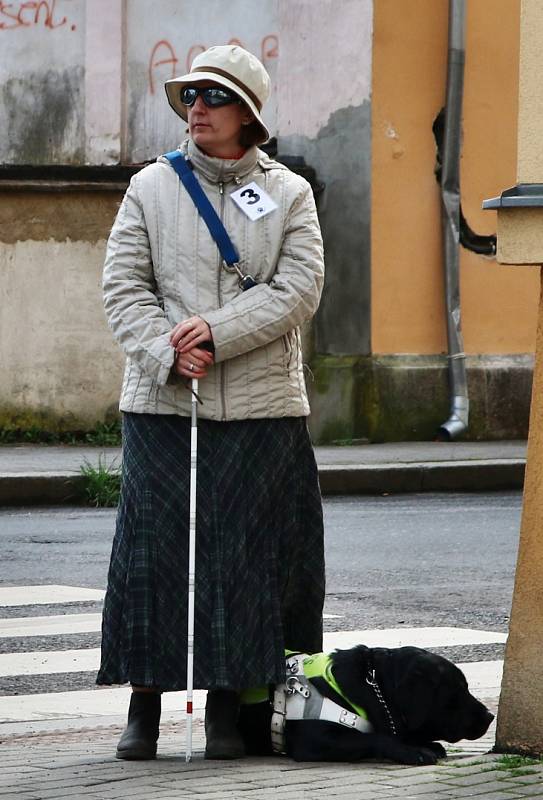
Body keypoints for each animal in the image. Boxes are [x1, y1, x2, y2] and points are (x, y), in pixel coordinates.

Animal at [238, 644, 492, 764]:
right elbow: (374, 737)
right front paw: (413, 751)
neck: (371, 687)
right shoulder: (313, 740)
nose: (490, 715)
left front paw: (425, 744)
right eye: (459, 689)